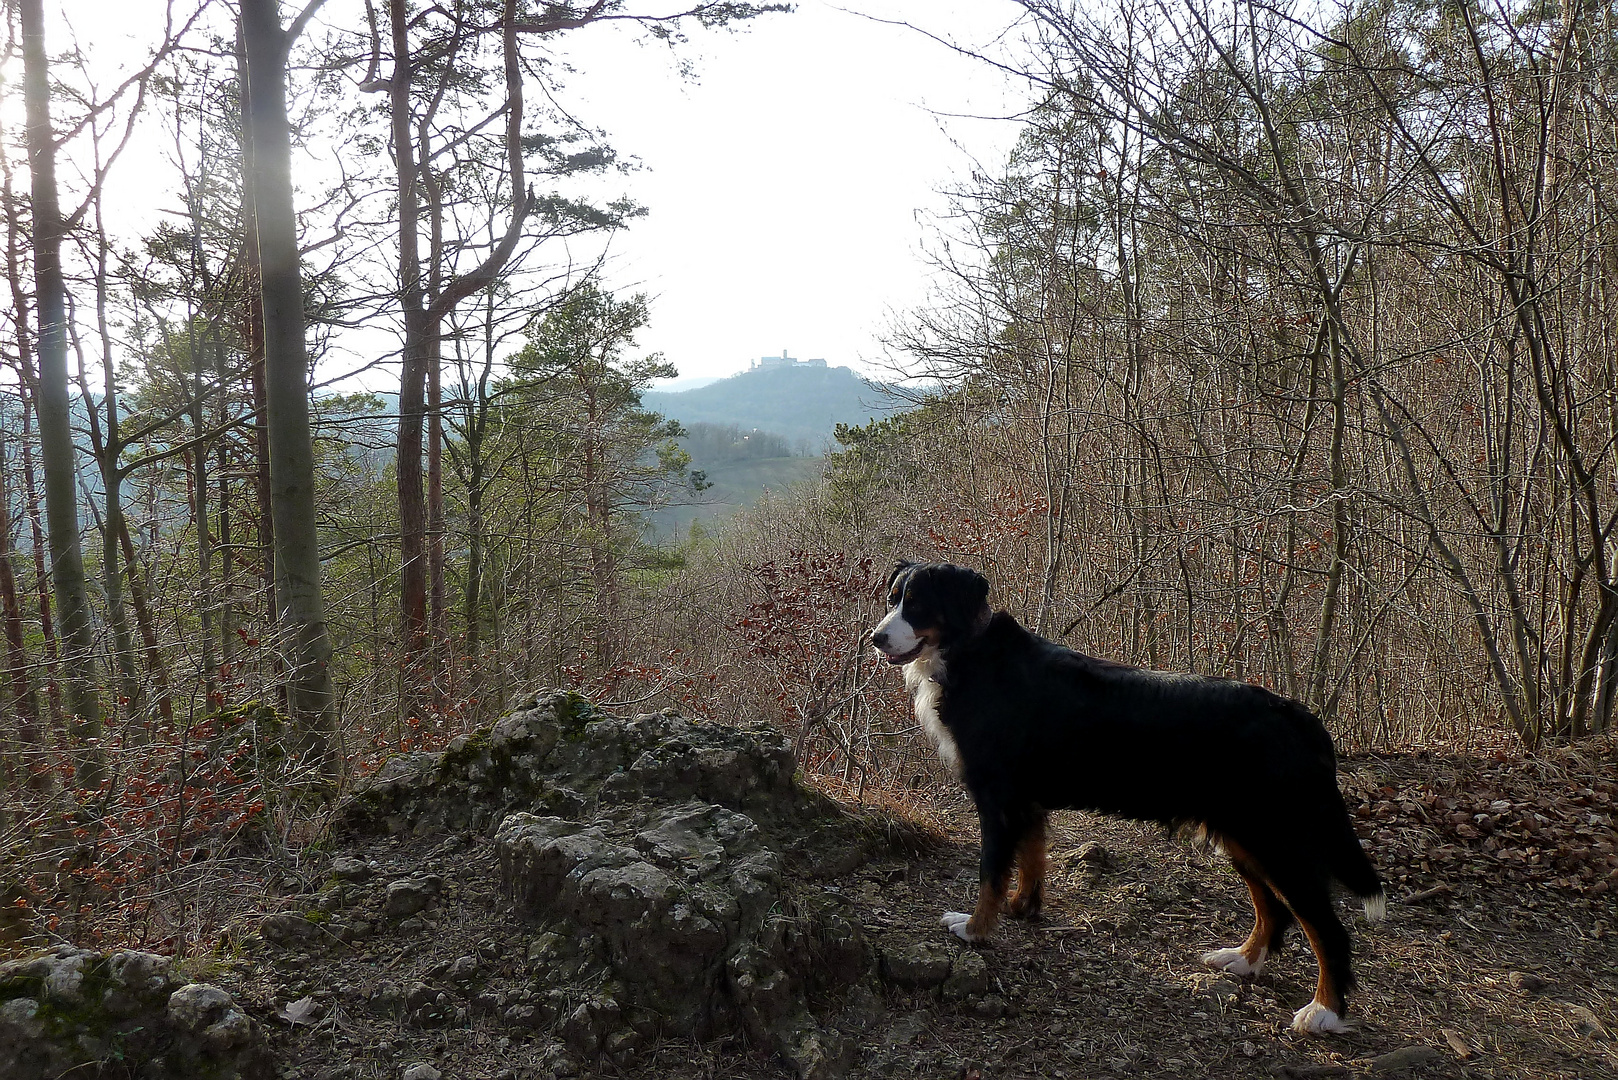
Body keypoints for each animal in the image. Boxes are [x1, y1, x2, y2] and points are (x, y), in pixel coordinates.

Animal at [873, 563, 1391, 1036]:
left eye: (917, 604)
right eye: (894, 597)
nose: (876, 638)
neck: (970, 653)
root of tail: (1298, 714)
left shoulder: (996, 798)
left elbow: (991, 873)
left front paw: (976, 929)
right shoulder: (1027, 801)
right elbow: (1032, 860)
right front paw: (1023, 909)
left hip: (1277, 840)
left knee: (1326, 928)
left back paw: (1324, 1010)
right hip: (1243, 836)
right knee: (1273, 908)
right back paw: (1242, 959)